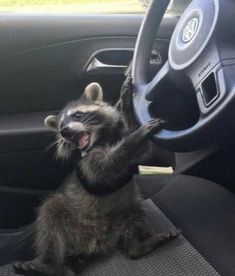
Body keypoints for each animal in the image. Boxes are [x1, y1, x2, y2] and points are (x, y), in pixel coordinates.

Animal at [13, 82, 178, 276]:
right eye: (61, 124)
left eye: (77, 115)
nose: (63, 131)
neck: (99, 139)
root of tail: (99, 243)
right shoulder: (86, 162)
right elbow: (104, 168)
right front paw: (137, 135)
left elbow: (140, 149)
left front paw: (128, 109)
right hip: (73, 224)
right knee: (50, 212)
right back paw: (50, 264)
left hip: (124, 213)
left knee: (135, 215)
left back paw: (138, 245)